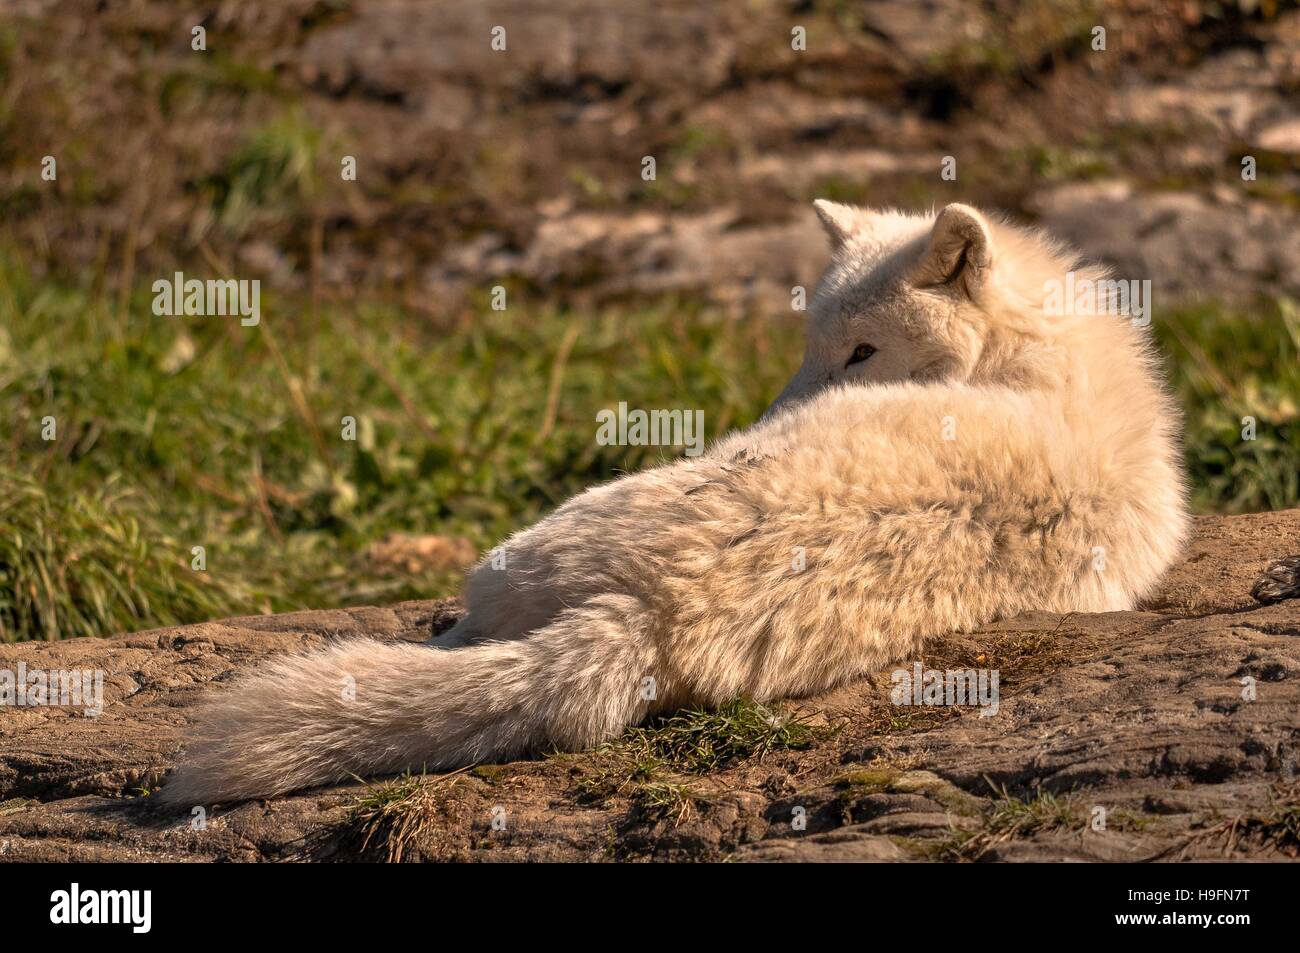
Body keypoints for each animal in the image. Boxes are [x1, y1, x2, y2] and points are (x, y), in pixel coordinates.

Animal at [159, 200, 1190, 800]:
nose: (774, 413)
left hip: (524, 548)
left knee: (461, 637)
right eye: (812, 343)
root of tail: (651, 613)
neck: (1036, 364)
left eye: (861, 353)